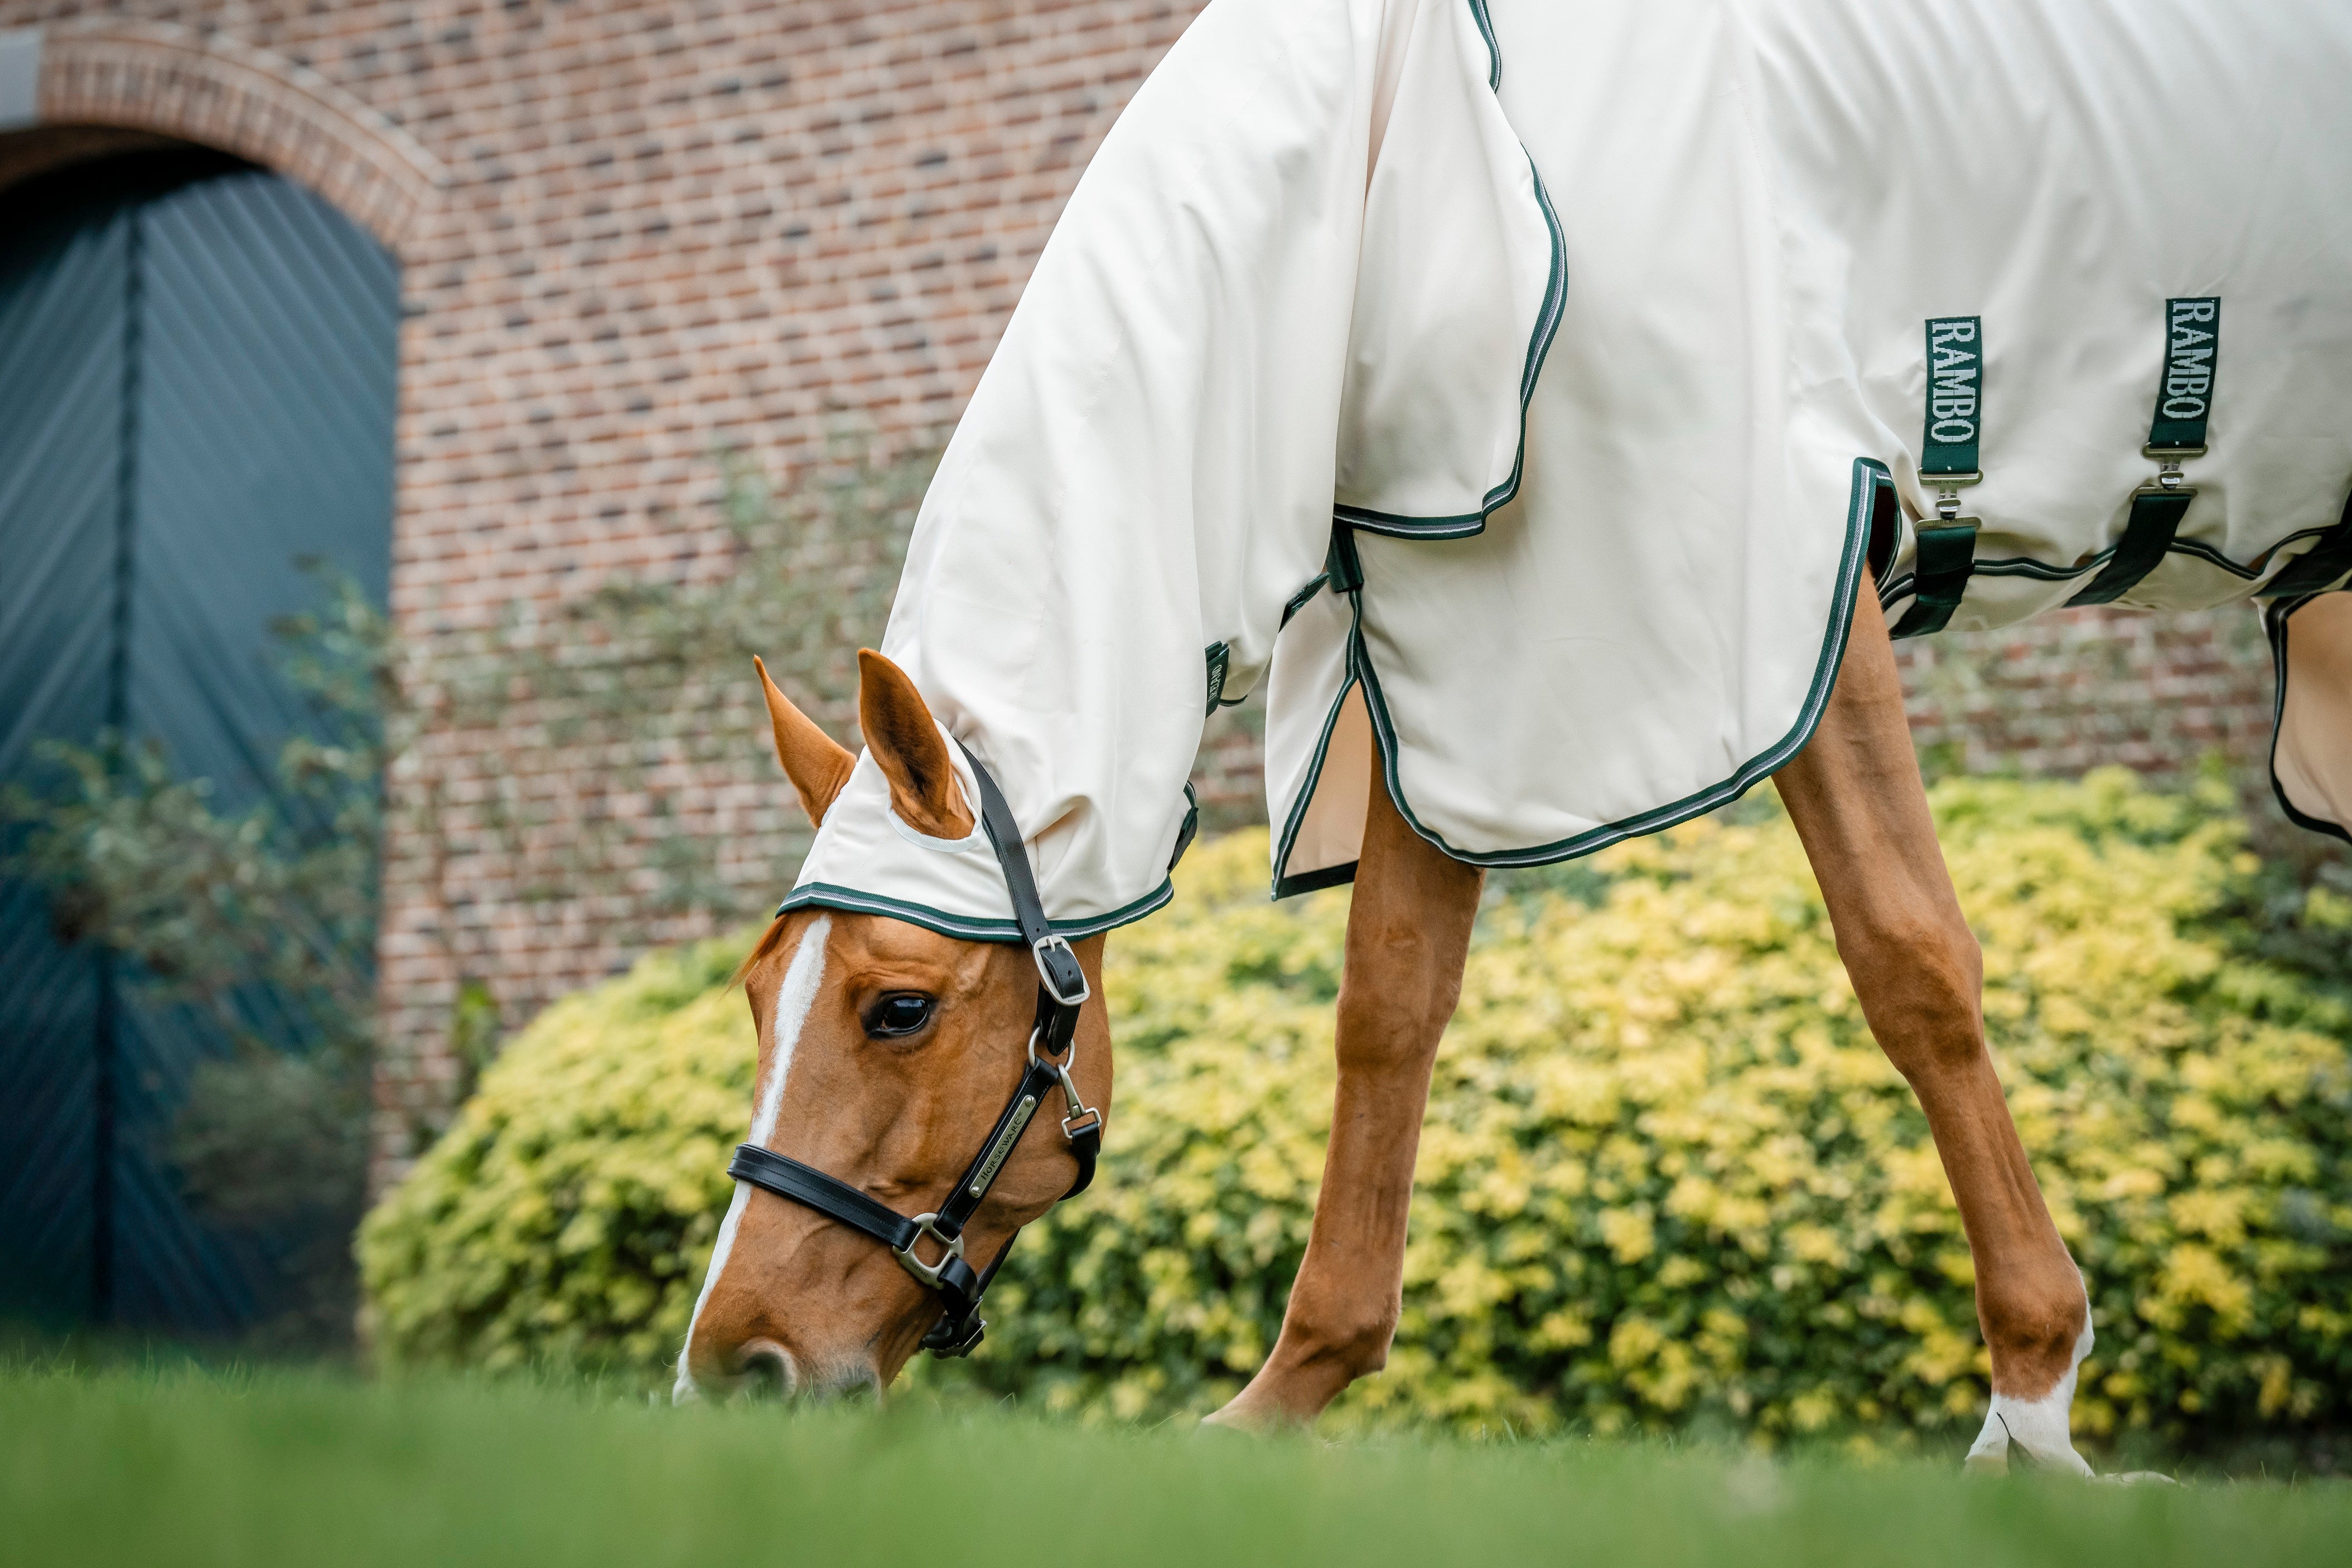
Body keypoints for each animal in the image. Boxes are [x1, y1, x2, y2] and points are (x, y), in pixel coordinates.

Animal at [673, 0, 2352, 1475]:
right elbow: (1387, 1016)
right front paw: (1281, 1400)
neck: (1393, 185)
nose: (732, 1368)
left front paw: (2036, 1405)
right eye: (757, 994)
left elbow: (1910, 960)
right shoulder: (1455, 669)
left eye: (896, 1006)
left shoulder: (1786, 590)